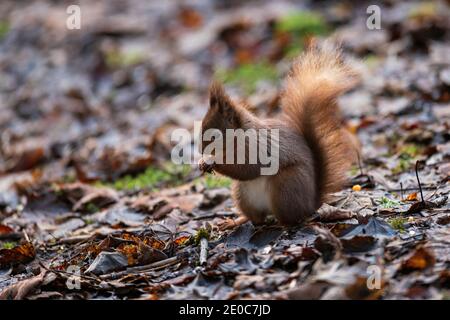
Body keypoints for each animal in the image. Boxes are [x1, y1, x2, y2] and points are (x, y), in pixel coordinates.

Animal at [199, 42, 360, 226]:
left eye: (215, 136)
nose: (202, 151)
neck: (237, 139)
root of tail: (310, 203)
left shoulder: (258, 148)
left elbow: (247, 169)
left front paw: (213, 162)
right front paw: (203, 162)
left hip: (286, 185)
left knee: (292, 217)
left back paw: (289, 223)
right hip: (242, 194)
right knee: (256, 218)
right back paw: (235, 222)